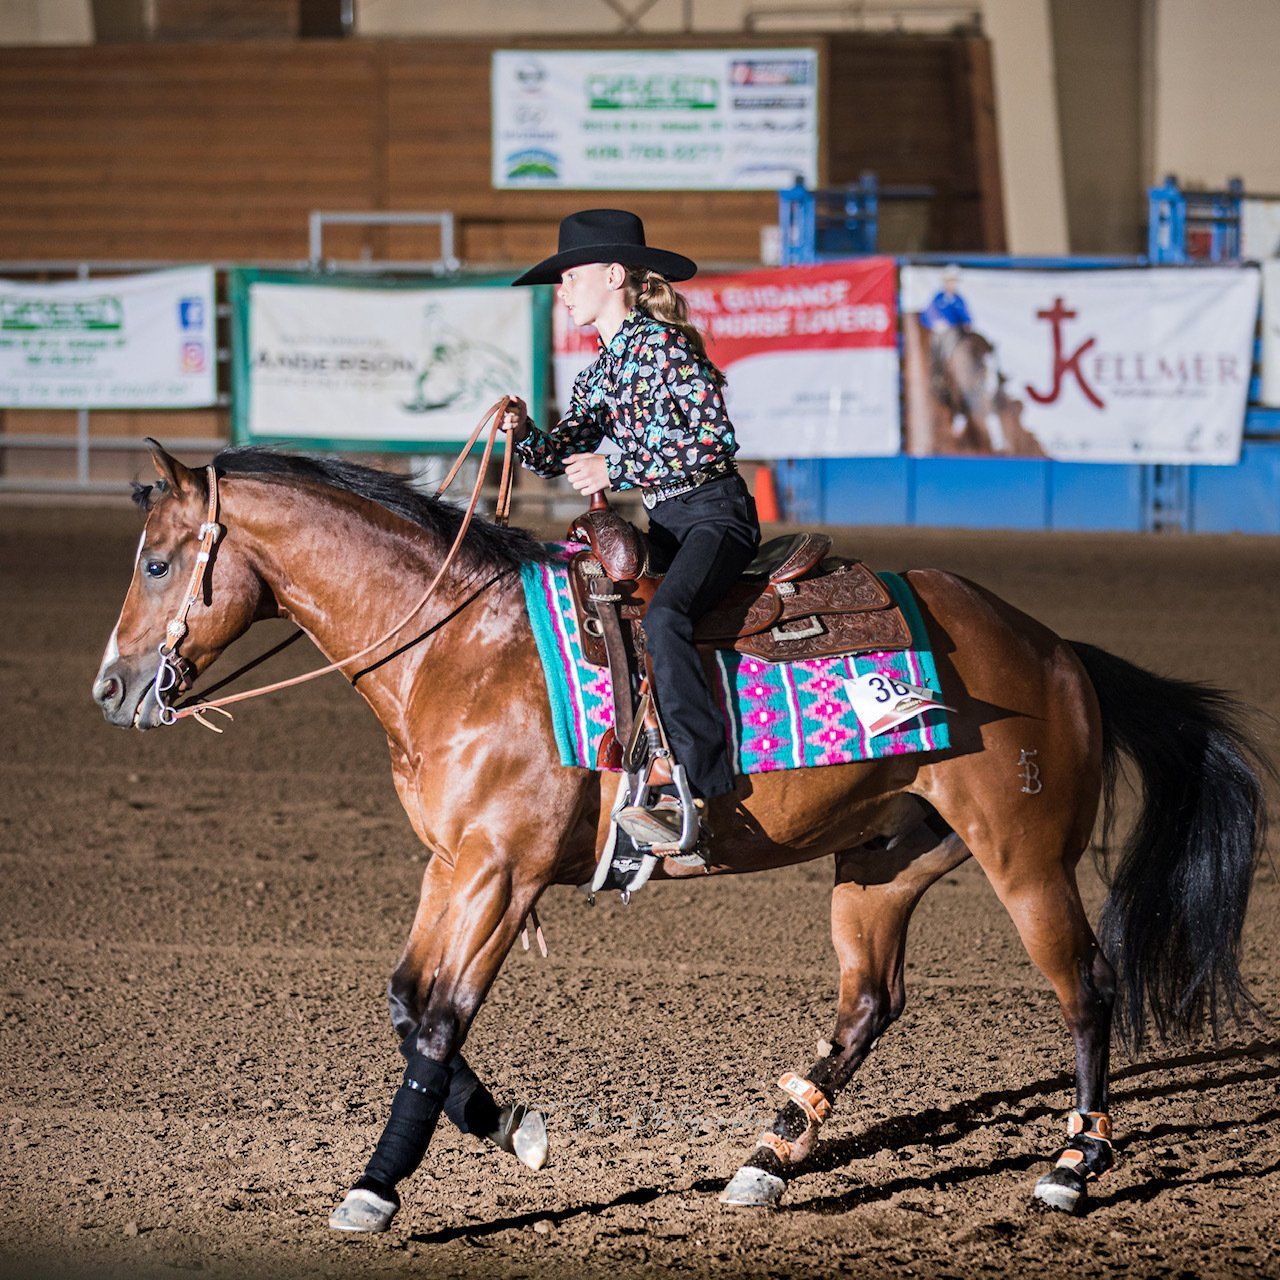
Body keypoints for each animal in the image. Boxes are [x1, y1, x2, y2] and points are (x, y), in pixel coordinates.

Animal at [92, 439, 1267, 1232]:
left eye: (156, 563)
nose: (109, 689)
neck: (462, 649)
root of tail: (1056, 649)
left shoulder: (501, 872)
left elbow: (435, 1020)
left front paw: (379, 1185)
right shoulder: (453, 863)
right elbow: (407, 1002)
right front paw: (506, 1124)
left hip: (1025, 858)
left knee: (1086, 986)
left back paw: (1071, 1165)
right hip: (882, 859)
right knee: (867, 1004)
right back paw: (767, 1159)